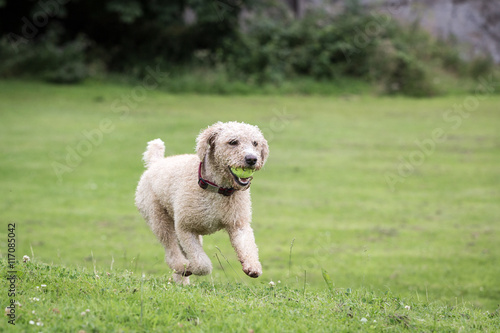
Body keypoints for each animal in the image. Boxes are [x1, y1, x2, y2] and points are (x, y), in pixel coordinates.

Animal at [135, 120, 270, 284]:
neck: (218, 189)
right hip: (158, 218)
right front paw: (190, 267)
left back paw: (182, 281)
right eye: (233, 142)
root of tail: (155, 163)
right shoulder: (185, 228)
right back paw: (181, 266)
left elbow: (247, 245)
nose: (252, 159)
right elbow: (202, 264)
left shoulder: (238, 223)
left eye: (255, 143)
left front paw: (252, 266)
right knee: (170, 250)